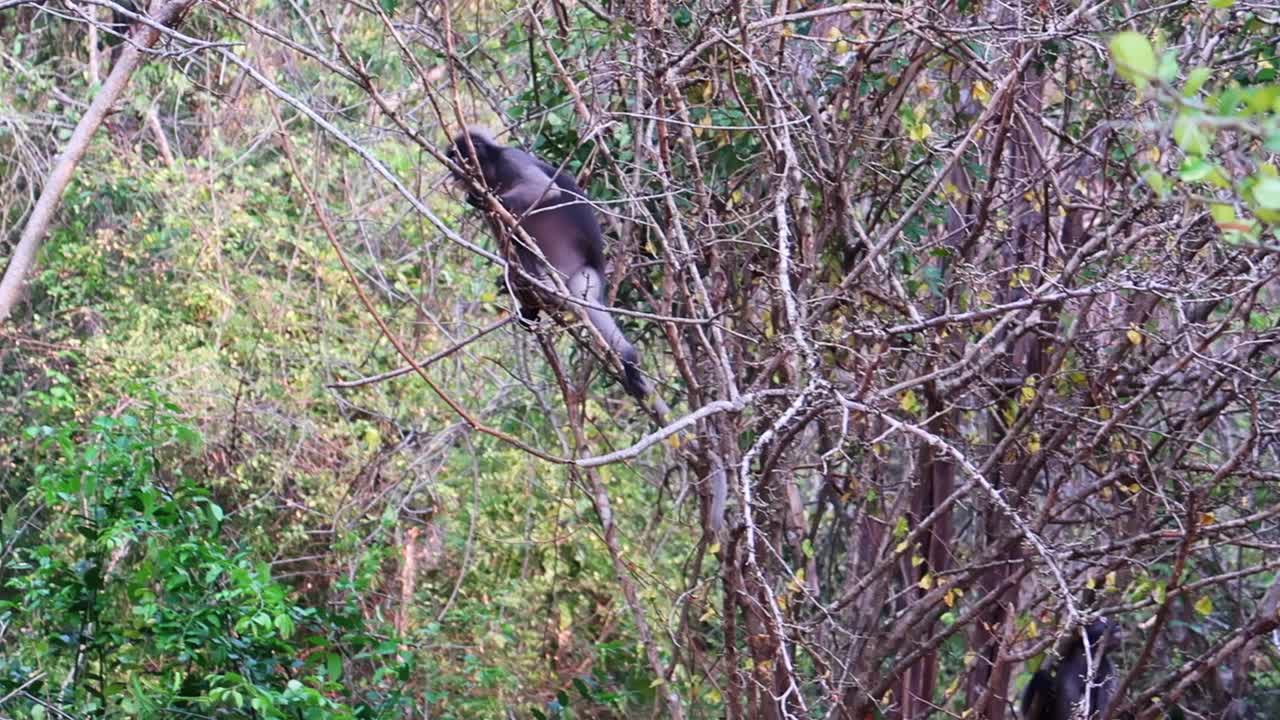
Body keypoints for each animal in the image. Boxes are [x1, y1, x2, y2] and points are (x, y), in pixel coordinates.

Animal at [445, 129, 650, 401]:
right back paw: (527, 291)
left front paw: (492, 200)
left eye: (456, 158)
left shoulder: (512, 160)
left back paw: (628, 357)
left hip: (581, 276)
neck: (492, 170)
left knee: (584, 301)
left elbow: (546, 190)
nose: (452, 173)